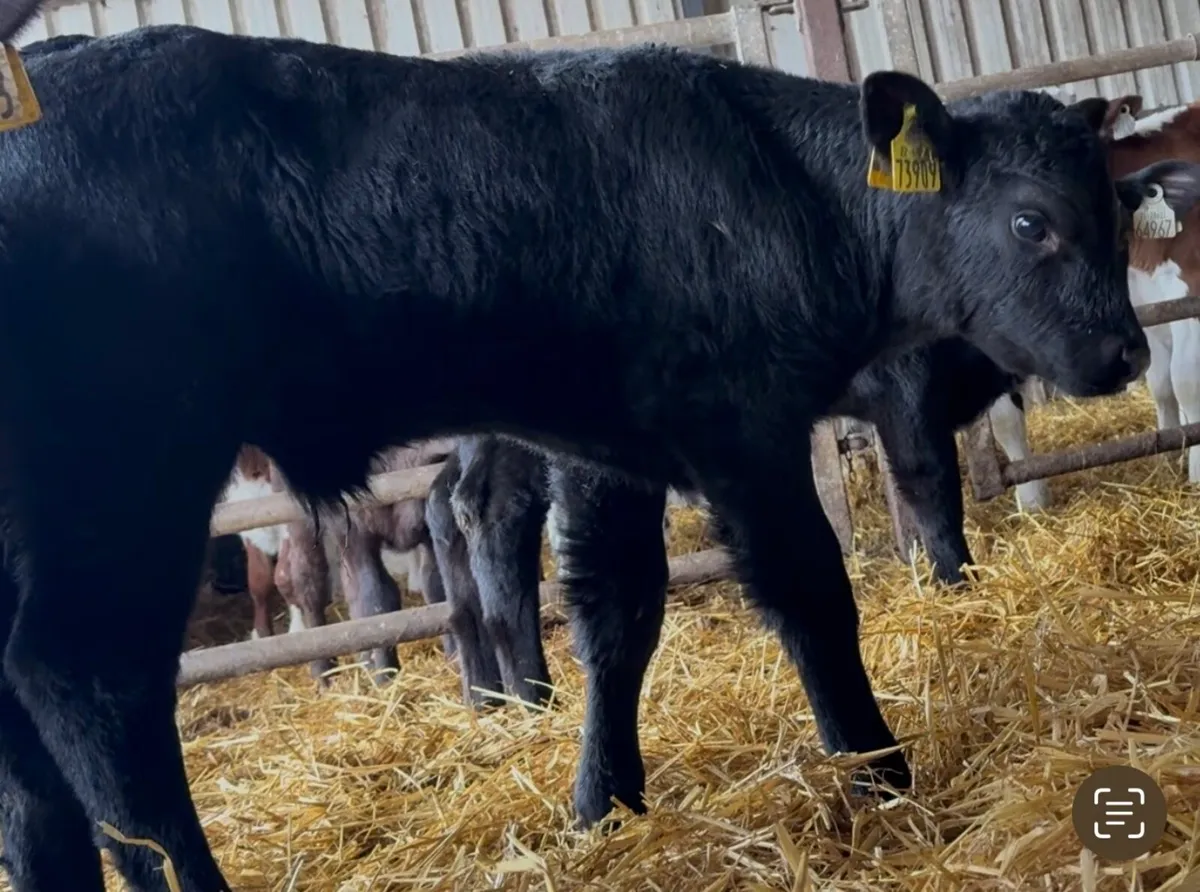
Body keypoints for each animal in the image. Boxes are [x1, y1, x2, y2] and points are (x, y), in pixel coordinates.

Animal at [0, 23, 1170, 892]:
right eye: (1031, 221)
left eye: (1118, 213)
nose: (1127, 350)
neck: (781, 194)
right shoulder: (743, 424)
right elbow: (816, 591)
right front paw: (878, 772)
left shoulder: (616, 449)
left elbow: (618, 617)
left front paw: (603, 801)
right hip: (121, 478)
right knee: (89, 685)